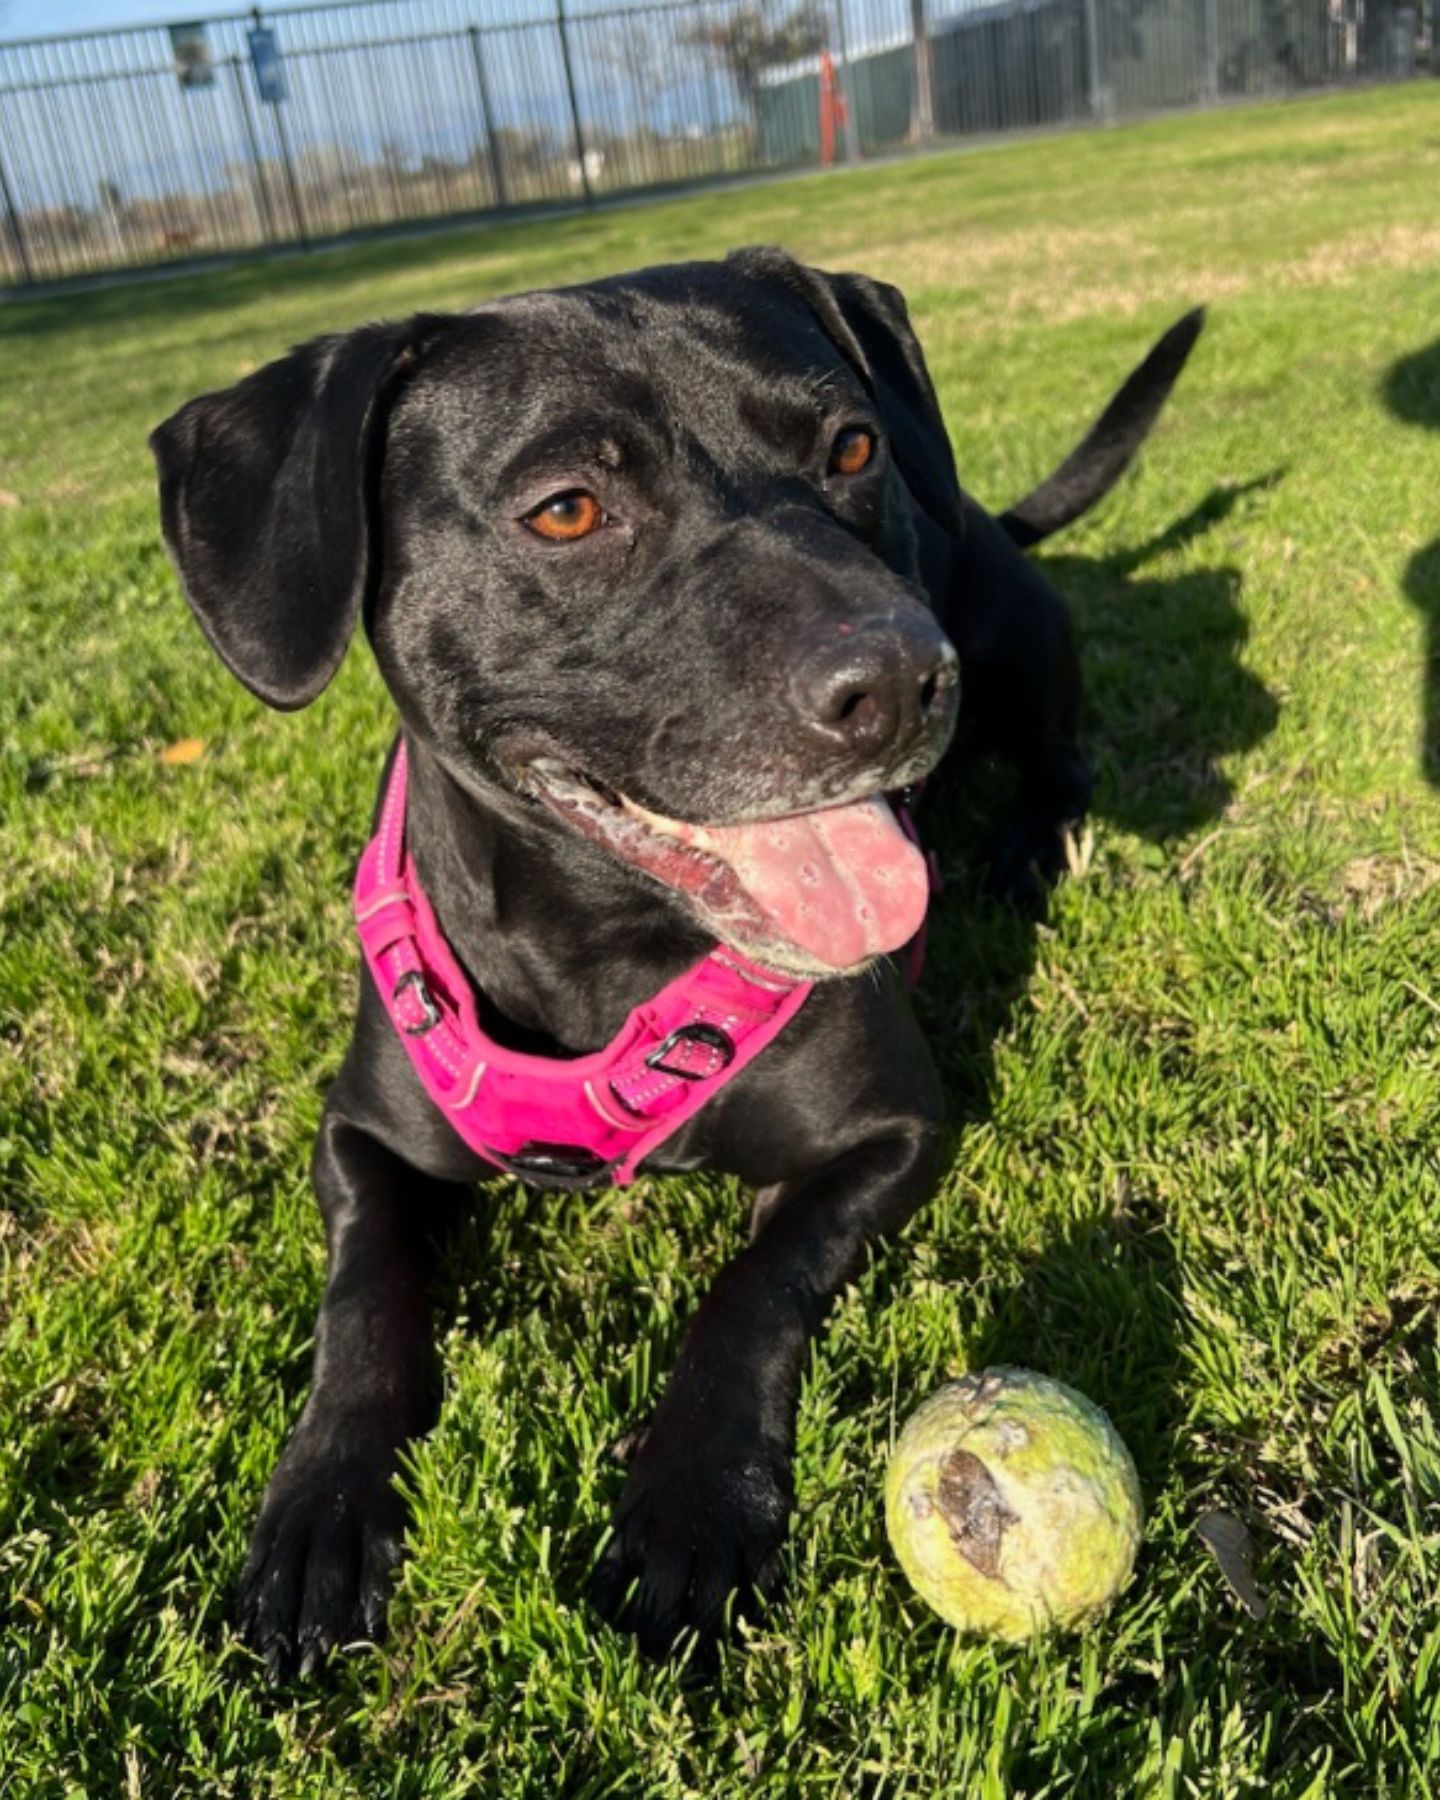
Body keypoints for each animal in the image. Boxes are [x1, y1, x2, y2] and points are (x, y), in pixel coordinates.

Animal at [152, 250, 1195, 1670]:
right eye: (567, 511)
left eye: (852, 445)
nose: (902, 679)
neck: (602, 949)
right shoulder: (359, 1136)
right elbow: (362, 1300)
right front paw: (323, 1502)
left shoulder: (892, 1132)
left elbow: (752, 1289)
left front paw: (697, 1498)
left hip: (1025, 653)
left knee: (1065, 763)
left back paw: (1027, 847)